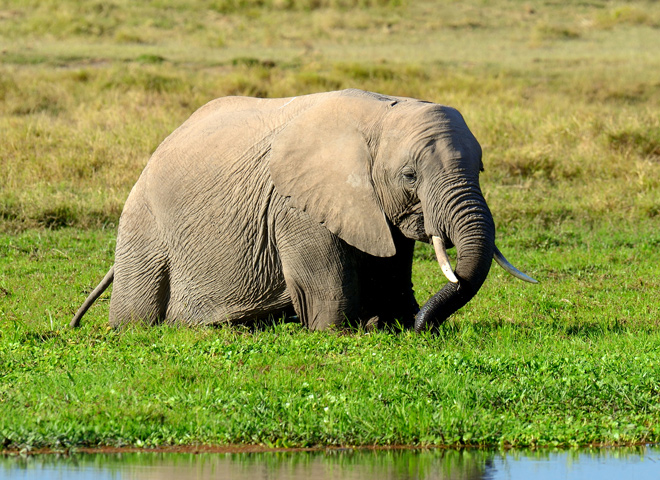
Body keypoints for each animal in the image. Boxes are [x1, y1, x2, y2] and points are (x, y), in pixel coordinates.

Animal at [71, 88, 536, 332]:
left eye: (480, 168)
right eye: (410, 176)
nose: (425, 325)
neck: (379, 114)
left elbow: (391, 268)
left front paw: (393, 322)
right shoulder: (295, 207)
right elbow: (326, 289)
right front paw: (359, 329)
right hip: (143, 224)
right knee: (137, 314)